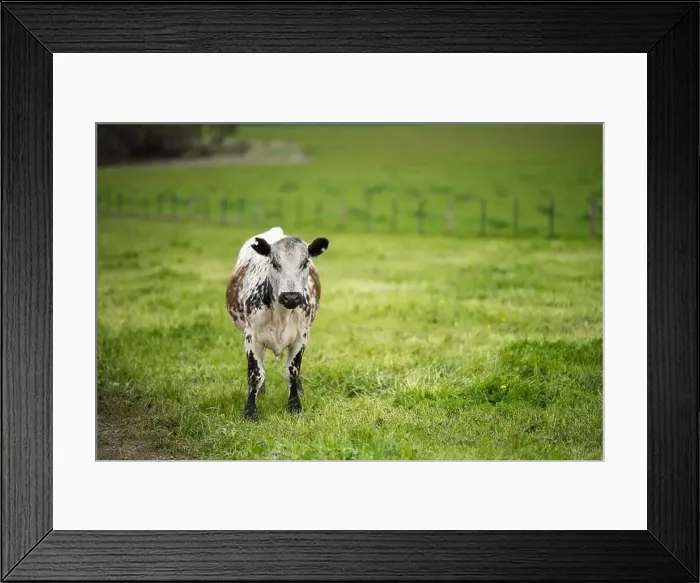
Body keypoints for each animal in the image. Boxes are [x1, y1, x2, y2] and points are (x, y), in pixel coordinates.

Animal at [226, 226, 329, 421]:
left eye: (305, 262)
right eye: (274, 263)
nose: (291, 296)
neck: (281, 314)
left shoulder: (301, 337)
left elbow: (292, 371)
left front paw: (295, 405)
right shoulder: (251, 337)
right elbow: (255, 374)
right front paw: (250, 411)